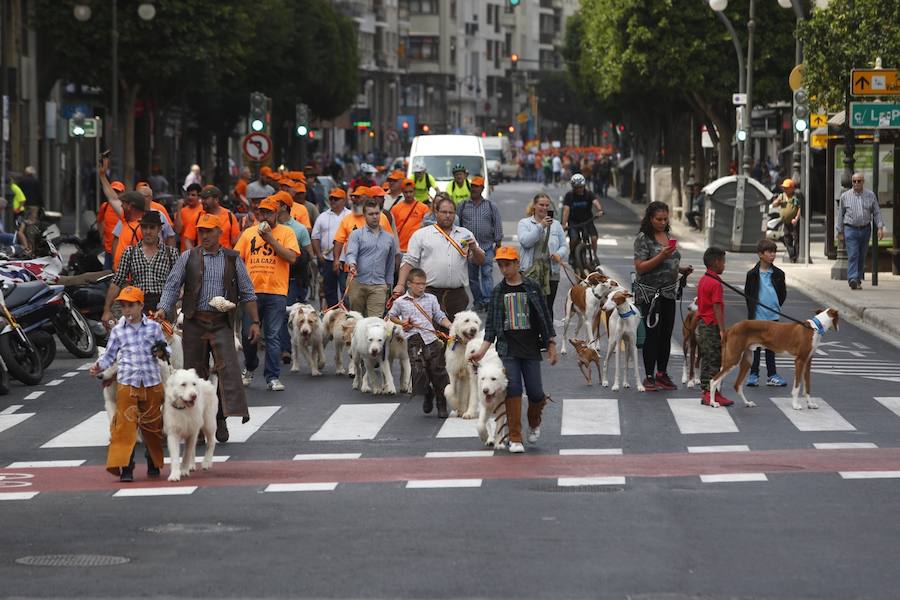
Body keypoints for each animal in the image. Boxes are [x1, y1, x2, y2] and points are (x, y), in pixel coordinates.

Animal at [712, 308, 840, 410]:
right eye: (838, 319)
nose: (839, 328)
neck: (815, 328)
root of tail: (731, 328)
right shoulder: (799, 361)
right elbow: (797, 387)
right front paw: (795, 405)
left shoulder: (807, 362)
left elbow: (807, 386)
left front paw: (810, 404)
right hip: (734, 359)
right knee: (714, 380)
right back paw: (713, 403)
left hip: (747, 360)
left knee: (737, 385)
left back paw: (747, 403)